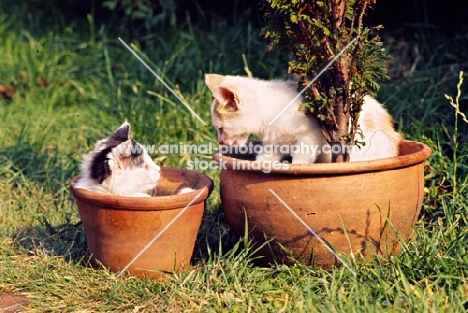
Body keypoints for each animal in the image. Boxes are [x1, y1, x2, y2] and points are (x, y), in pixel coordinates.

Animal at [206, 73, 402, 163]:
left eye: (220, 129)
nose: (220, 142)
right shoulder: (276, 142)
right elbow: (266, 157)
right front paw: (260, 166)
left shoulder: (309, 137)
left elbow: (301, 159)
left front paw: (296, 167)